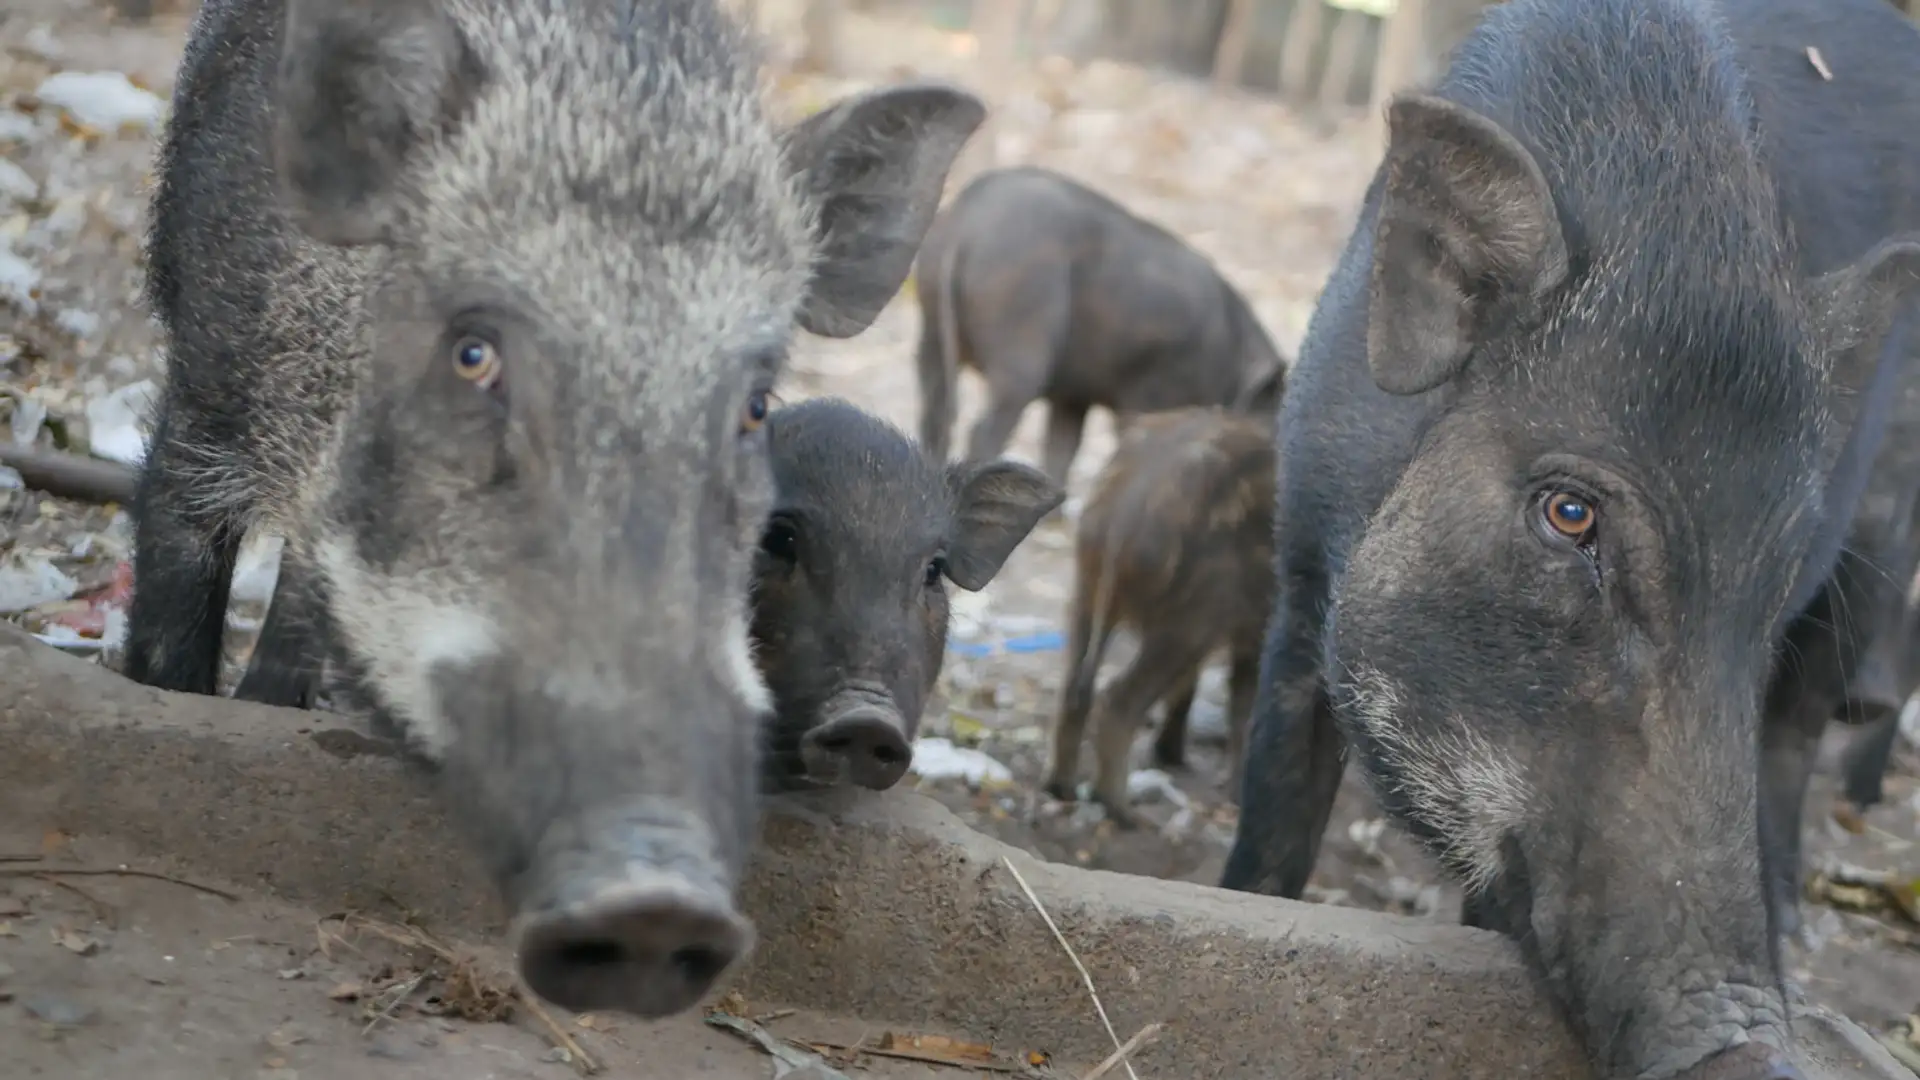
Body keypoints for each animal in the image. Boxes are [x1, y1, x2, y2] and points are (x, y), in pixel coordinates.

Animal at [125, 0, 983, 1020]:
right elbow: (177, 598)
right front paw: (173, 697)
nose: (658, 900)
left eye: (755, 405)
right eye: (473, 352)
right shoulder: (207, 389)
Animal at [912, 165, 1289, 488]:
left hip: (931, 323)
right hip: (1020, 327)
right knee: (985, 425)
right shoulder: (1148, 394)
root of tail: (966, 223)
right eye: (1269, 423)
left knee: (935, 410)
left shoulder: (1073, 395)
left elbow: (1064, 445)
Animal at [1040, 406, 1276, 827]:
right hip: (1190, 621)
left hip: (1086, 590)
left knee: (1075, 689)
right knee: (1117, 701)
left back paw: (1061, 789)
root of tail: (1121, 516)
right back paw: (1123, 813)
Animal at [1215, 0, 1920, 1076]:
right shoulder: (1299, 589)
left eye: (1775, 570)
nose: (1755, 1047)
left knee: (1797, 736)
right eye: (1570, 513)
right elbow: (1271, 837)